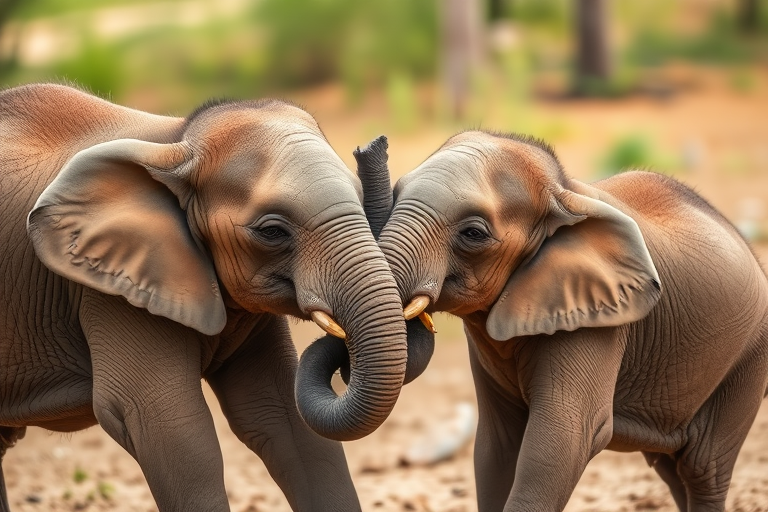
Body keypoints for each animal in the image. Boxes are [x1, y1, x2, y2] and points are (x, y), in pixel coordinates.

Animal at [0, 83, 413, 512]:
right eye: (272, 232)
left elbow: (282, 417)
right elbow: (168, 425)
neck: (177, 142)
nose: (372, 145)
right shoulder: (108, 293)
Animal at [356, 132, 768, 511]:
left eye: (473, 233)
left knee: (702, 467)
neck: (562, 192)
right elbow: (497, 446)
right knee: (670, 467)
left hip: (749, 357)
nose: (370, 146)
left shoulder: (599, 321)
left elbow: (563, 439)